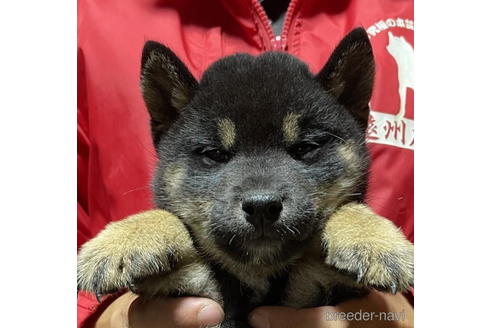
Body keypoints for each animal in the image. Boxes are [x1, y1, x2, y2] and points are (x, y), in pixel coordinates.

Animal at [79, 28, 414, 328]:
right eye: (215, 153)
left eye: (305, 148)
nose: (262, 206)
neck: (258, 276)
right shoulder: (188, 283)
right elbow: (170, 219)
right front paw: (124, 239)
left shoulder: (324, 284)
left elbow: (349, 208)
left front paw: (373, 240)